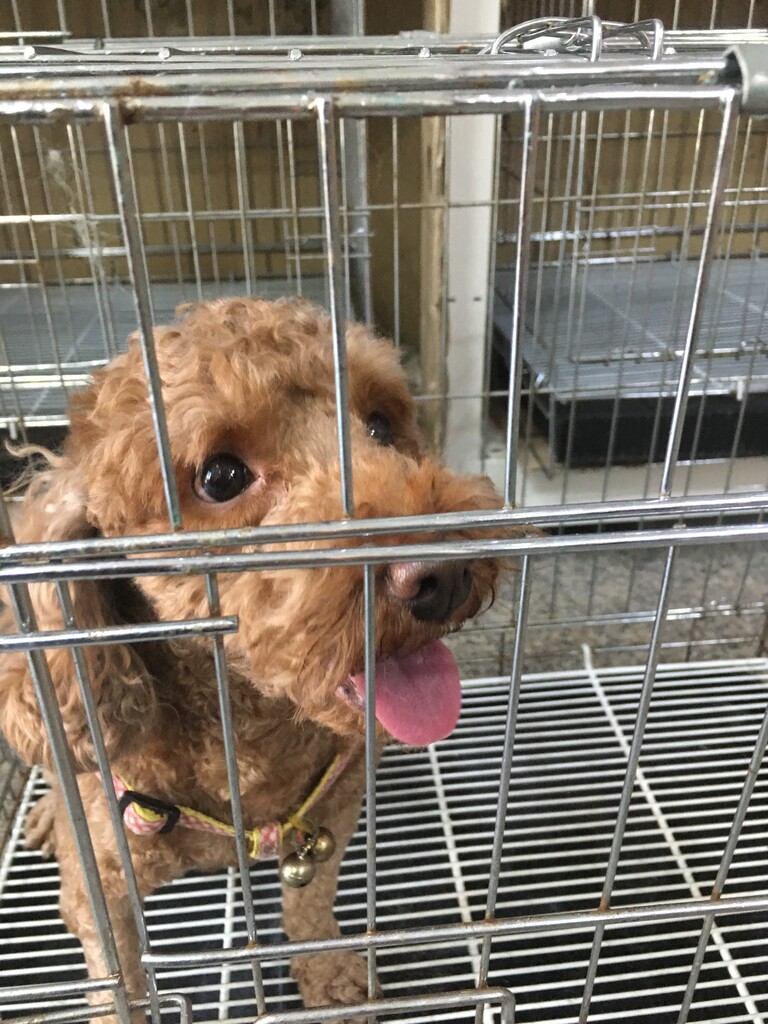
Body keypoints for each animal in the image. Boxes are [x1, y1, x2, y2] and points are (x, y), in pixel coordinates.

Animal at [0, 297, 513, 1021]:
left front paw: (330, 977)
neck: (245, 750)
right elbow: (117, 978)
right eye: (220, 477)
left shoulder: (330, 818)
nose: (443, 574)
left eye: (382, 425)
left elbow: (309, 905)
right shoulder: (100, 888)